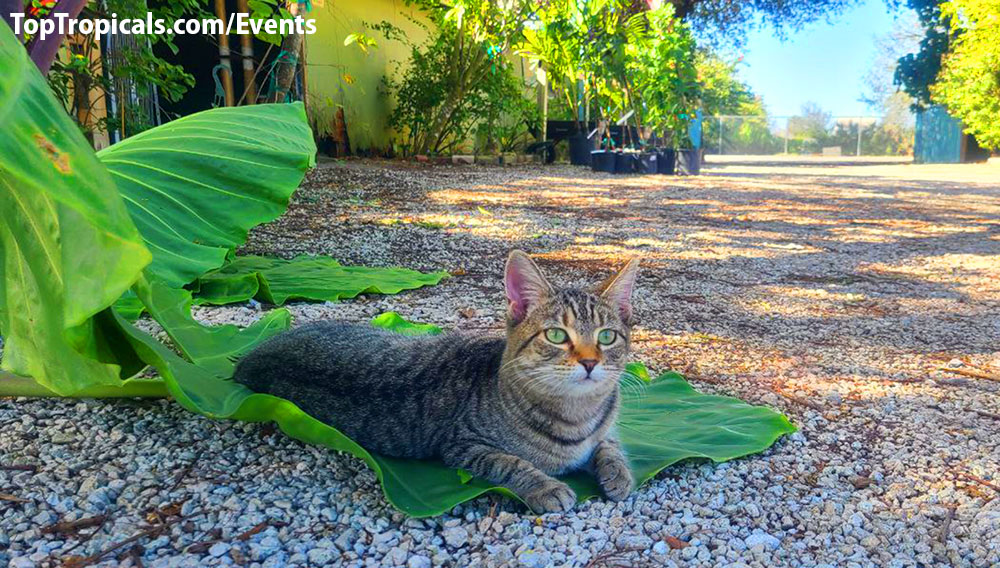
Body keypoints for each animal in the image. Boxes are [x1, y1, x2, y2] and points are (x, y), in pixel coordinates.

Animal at [236, 251, 632, 512]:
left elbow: (609, 446)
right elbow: (511, 464)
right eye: (556, 335)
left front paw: (618, 473)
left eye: (607, 337)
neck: (577, 415)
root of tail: (253, 355)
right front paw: (545, 487)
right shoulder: (464, 446)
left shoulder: (604, 431)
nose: (590, 362)